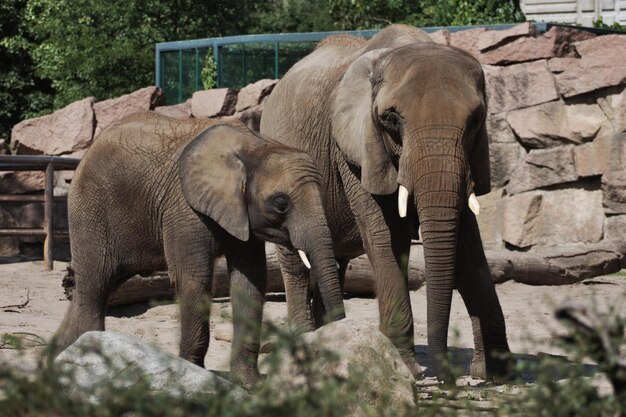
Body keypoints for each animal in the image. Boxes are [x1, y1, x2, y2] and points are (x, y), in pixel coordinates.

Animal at [260, 23, 510, 380]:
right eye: (391, 119)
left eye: (476, 119)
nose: (445, 377)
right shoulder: (354, 148)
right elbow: (386, 235)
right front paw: (407, 368)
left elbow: (467, 244)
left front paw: (495, 372)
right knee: (295, 261)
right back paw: (306, 342)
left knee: (335, 261)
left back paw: (330, 336)